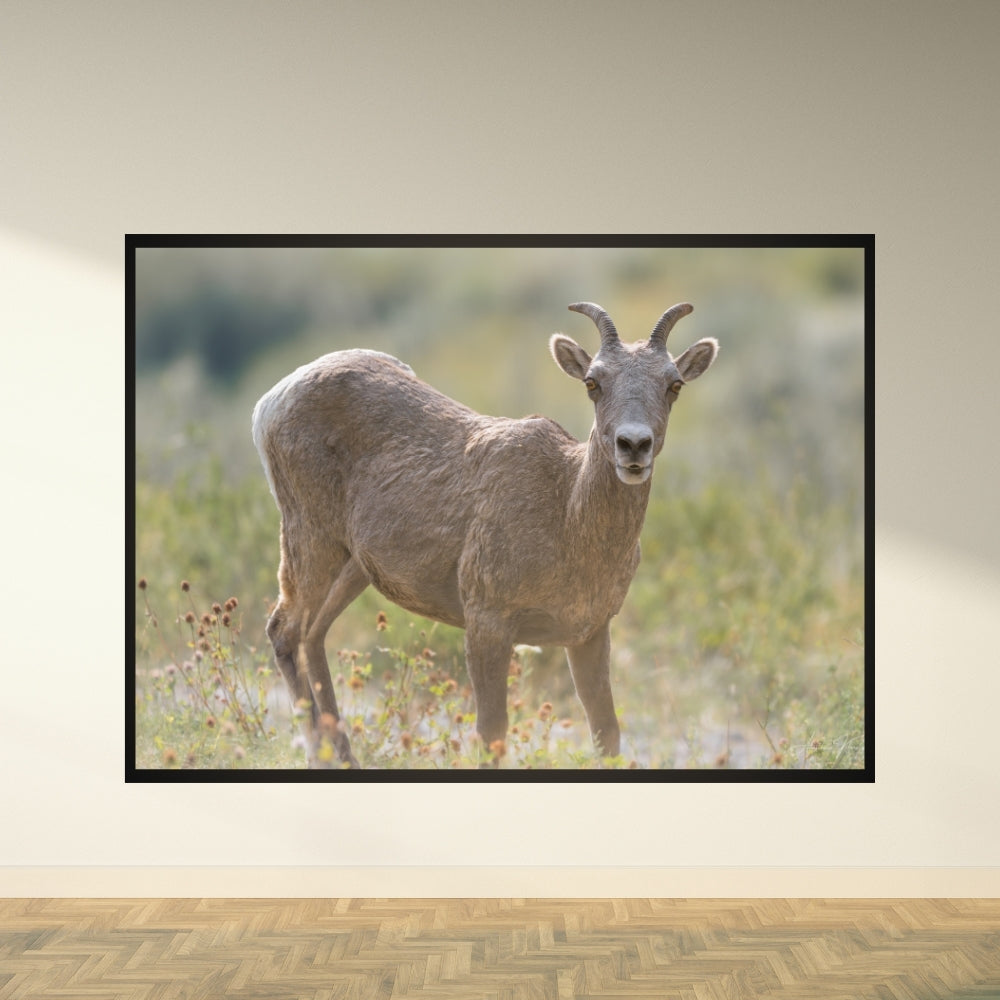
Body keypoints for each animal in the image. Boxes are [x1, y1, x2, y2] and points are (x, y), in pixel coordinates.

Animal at [252, 302, 718, 767]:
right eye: (593, 382)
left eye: (674, 384)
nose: (633, 445)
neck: (568, 520)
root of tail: (268, 404)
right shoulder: (487, 620)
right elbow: (492, 732)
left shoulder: (589, 631)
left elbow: (607, 733)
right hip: (309, 537)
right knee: (284, 630)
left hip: (353, 565)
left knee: (313, 634)